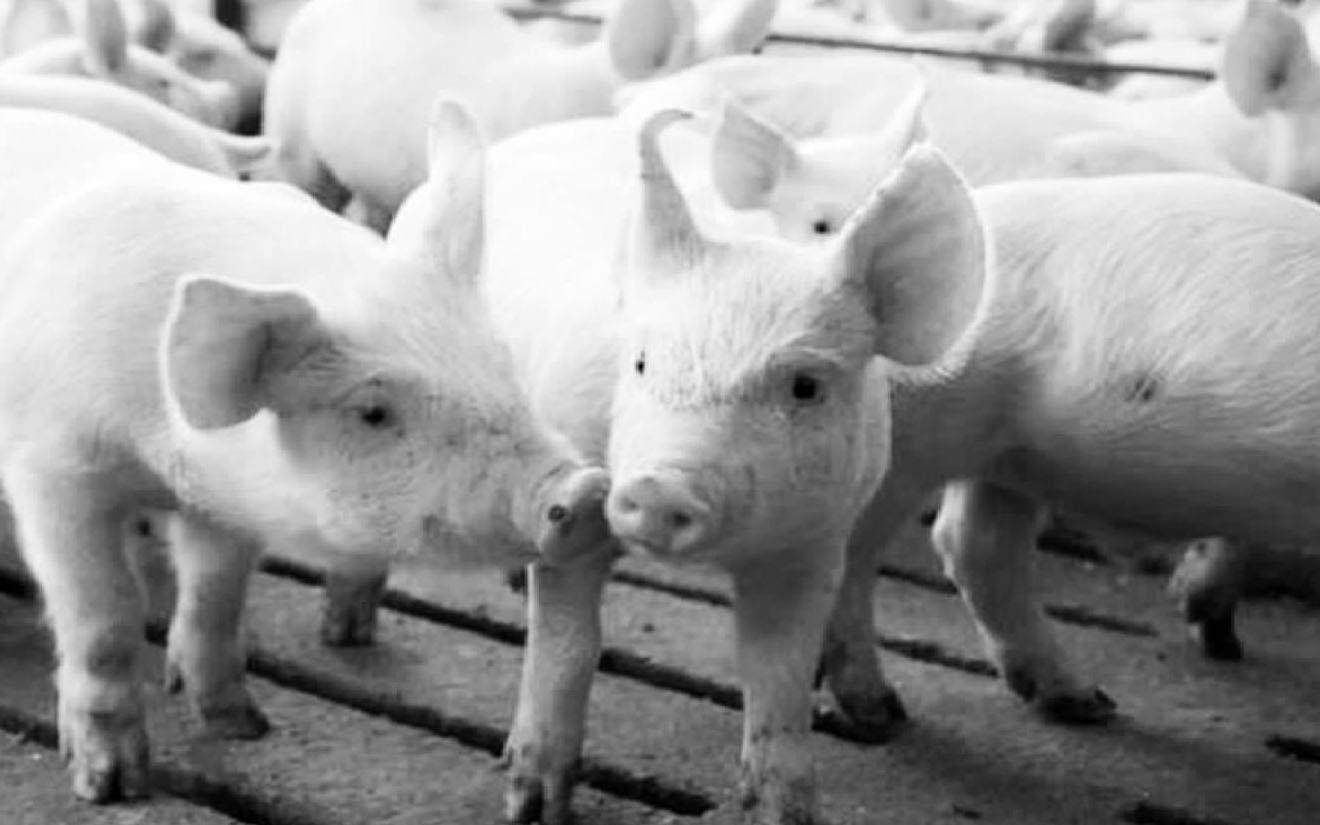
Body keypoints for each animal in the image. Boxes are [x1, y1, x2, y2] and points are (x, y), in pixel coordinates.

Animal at [0, 106, 610, 803]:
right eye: (372, 412)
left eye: (502, 364)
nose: (585, 489)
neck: (160, 454)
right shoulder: (53, 469)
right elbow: (103, 616)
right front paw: (110, 787)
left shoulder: (223, 500)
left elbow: (216, 595)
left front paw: (243, 726)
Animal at [384, 103, 989, 824]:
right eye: (642, 361)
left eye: (806, 386)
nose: (659, 487)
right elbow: (567, 644)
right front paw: (530, 806)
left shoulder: (813, 541)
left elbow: (778, 677)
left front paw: (784, 810)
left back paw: (881, 713)